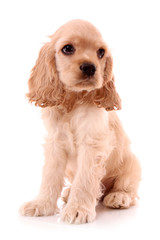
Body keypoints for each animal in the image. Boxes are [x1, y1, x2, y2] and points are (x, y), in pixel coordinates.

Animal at [20, 19, 141, 224]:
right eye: (67, 49)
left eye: (101, 52)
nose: (90, 67)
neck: (73, 100)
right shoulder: (55, 142)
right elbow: (50, 176)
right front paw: (42, 204)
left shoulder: (92, 143)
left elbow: (84, 180)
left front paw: (78, 209)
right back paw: (69, 193)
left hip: (132, 164)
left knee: (127, 188)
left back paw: (118, 196)